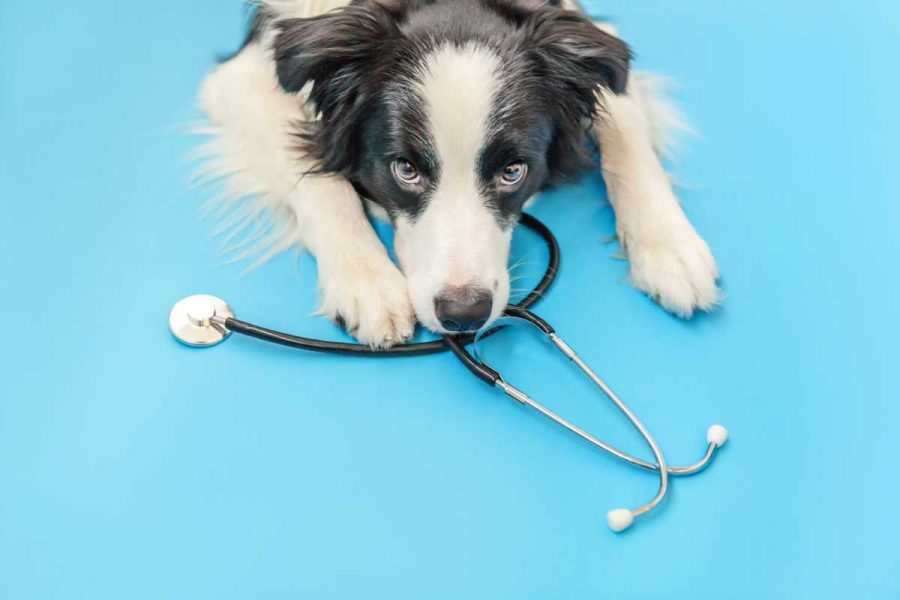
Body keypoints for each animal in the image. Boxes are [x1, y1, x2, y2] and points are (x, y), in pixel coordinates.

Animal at [195, 0, 716, 346]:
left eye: (513, 171)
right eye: (405, 169)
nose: (464, 315)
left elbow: (627, 137)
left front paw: (670, 249)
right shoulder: (238, 77)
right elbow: (315, 176)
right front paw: (366, 282)